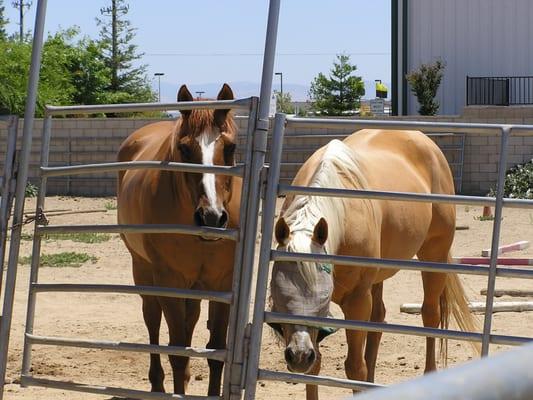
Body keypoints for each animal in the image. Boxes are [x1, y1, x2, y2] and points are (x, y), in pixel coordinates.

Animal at [117, 83, 240, 396]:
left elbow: (216, 352)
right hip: (143, 270)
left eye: (230, 147)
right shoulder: (170, 281)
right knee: (152, 320)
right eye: (184, 148)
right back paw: (158, 385)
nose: (211, 216)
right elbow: (177, 352)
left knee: (190, 319)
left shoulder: (222, 284)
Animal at [270, 130, 478, 398]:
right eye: (279, 294)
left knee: (430, 316)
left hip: (434, 257)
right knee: (378, 320)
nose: (298, 355)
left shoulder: (357, 301)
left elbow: (355, 368)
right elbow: (316, 366)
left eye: (323, 297)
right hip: (378, 278)